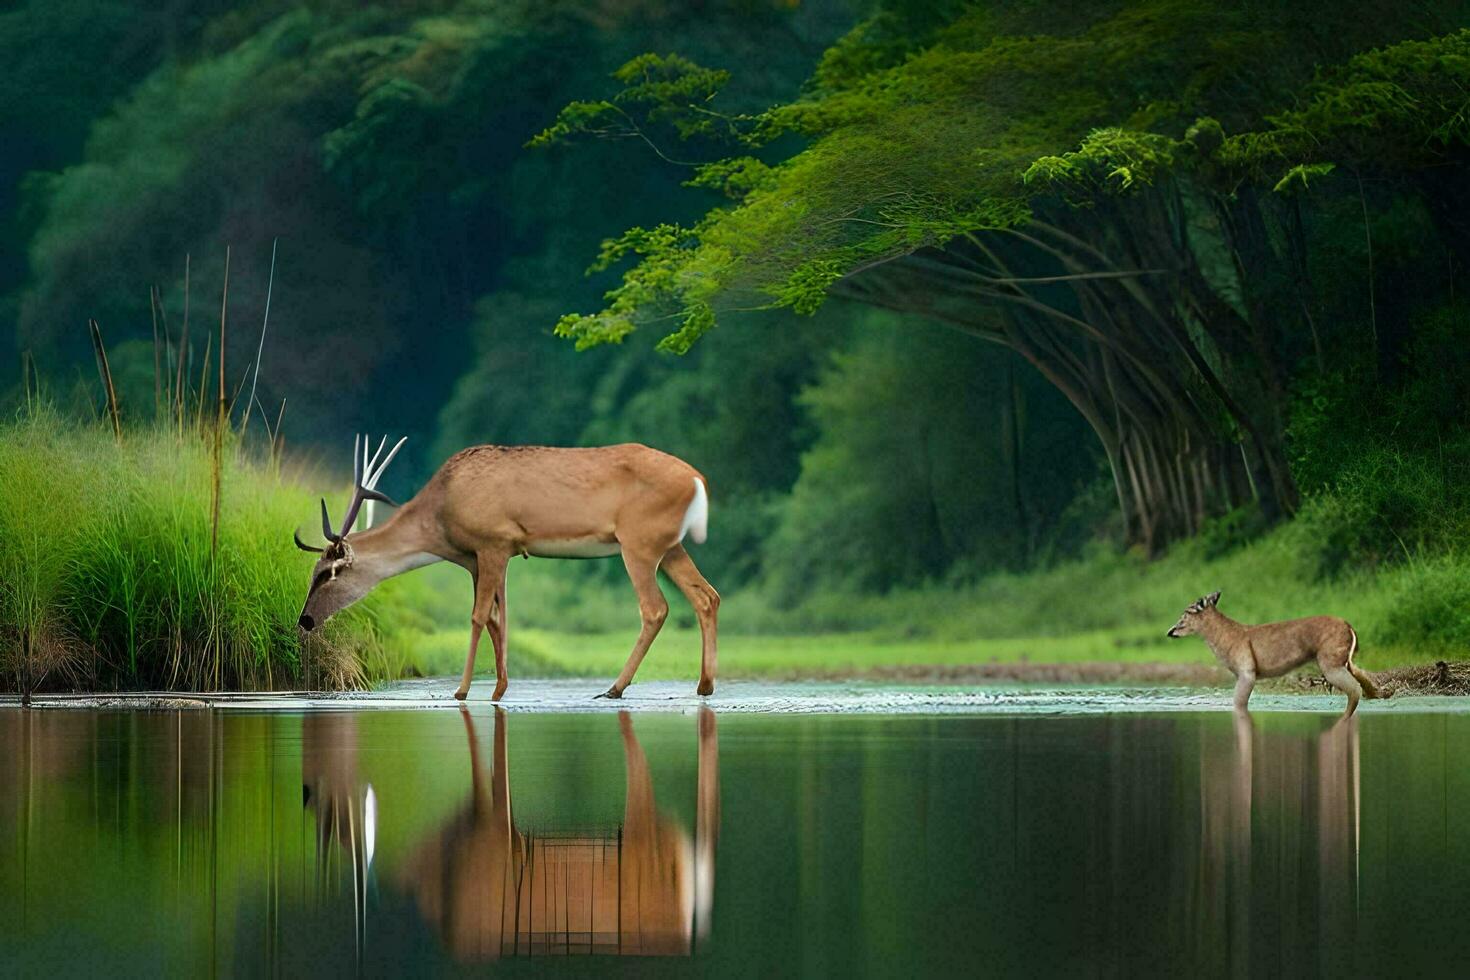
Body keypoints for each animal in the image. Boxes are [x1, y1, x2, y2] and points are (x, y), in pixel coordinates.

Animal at [292, 431, 717, 702]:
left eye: (326, 573)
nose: (305, 621)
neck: (440, 513)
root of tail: (699, 480)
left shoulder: (492, 542)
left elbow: (479, 616)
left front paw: (462, 690)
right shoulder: (484, 556)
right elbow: (499, 617)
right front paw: (498, 688)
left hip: (638, 543)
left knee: (655, 608)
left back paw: (615, 688)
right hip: (670, 545)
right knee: (706, 596)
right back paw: (704, 685)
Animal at [1164, 590, 1381, 719]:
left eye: (1186, 612)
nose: (1170, 631)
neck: (1223, 641)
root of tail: (1350, 628)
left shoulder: (1247, 671)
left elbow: (1238, 702)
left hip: (1330, 662)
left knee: (1354, 689)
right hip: (1345, 660)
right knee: (1365, 680)